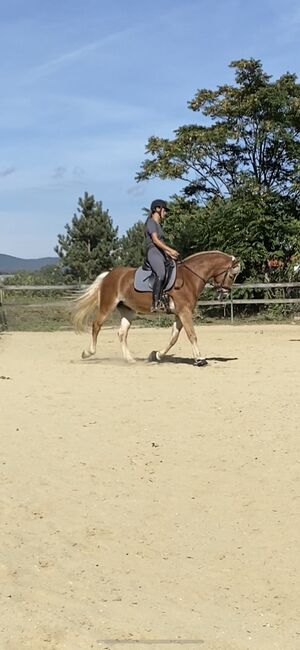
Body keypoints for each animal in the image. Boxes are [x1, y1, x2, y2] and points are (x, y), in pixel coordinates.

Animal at [73, 249, 241, 364]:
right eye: (232, 275)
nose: (224, 295)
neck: (189, 277)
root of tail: (109, 275)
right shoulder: (185, 312)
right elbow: (191, 334)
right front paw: (200, 359)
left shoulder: (179, 313)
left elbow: (173, 338)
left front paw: (156, 355)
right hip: (107, 306)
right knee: (96, 325)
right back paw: (88, 352)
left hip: (128, 311)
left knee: (122, 333)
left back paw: (130, 359)